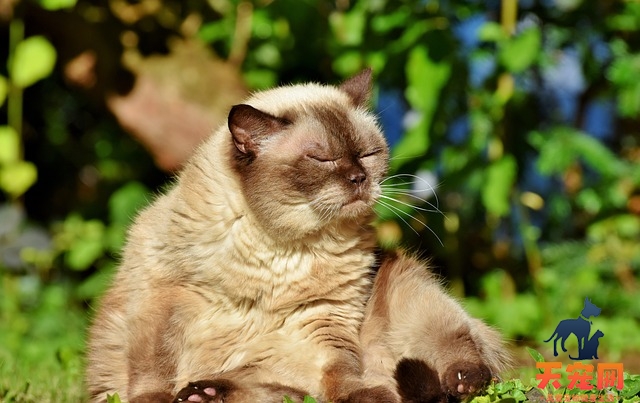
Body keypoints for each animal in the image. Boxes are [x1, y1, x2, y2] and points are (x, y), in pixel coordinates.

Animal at [87, 70, 510, 403]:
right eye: (322, 159)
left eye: (367, 154)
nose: (359, 178)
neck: (281, 245)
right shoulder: (163, 302)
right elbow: (154, 370)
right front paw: (158, 398)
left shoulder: (326, 315)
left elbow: (341, 372)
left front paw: (363, 396)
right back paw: (202, 394)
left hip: (408, 292)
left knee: (467, 360)